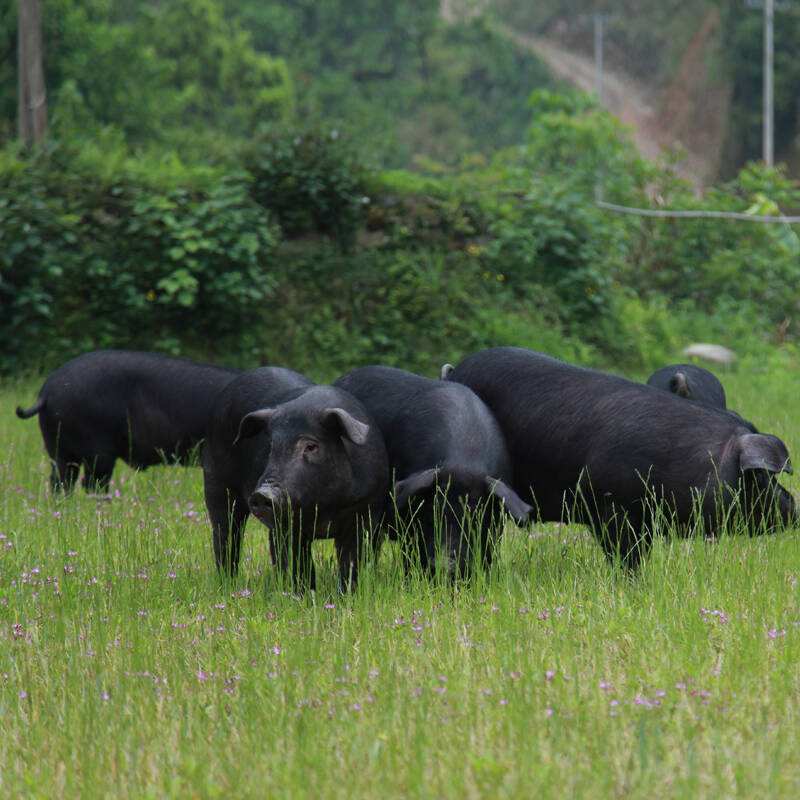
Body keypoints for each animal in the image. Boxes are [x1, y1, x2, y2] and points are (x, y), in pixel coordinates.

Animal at [200, 368, 388, 588]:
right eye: (271, 445)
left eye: (311, 446)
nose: (263, 494)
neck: (326, 506)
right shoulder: (286, 526)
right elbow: (297, 564)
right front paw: (301, 593)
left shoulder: (366, 512)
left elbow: (352, 563)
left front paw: (347, 593)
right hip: (216, 482)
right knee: (225, 535)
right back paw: (227, 584)